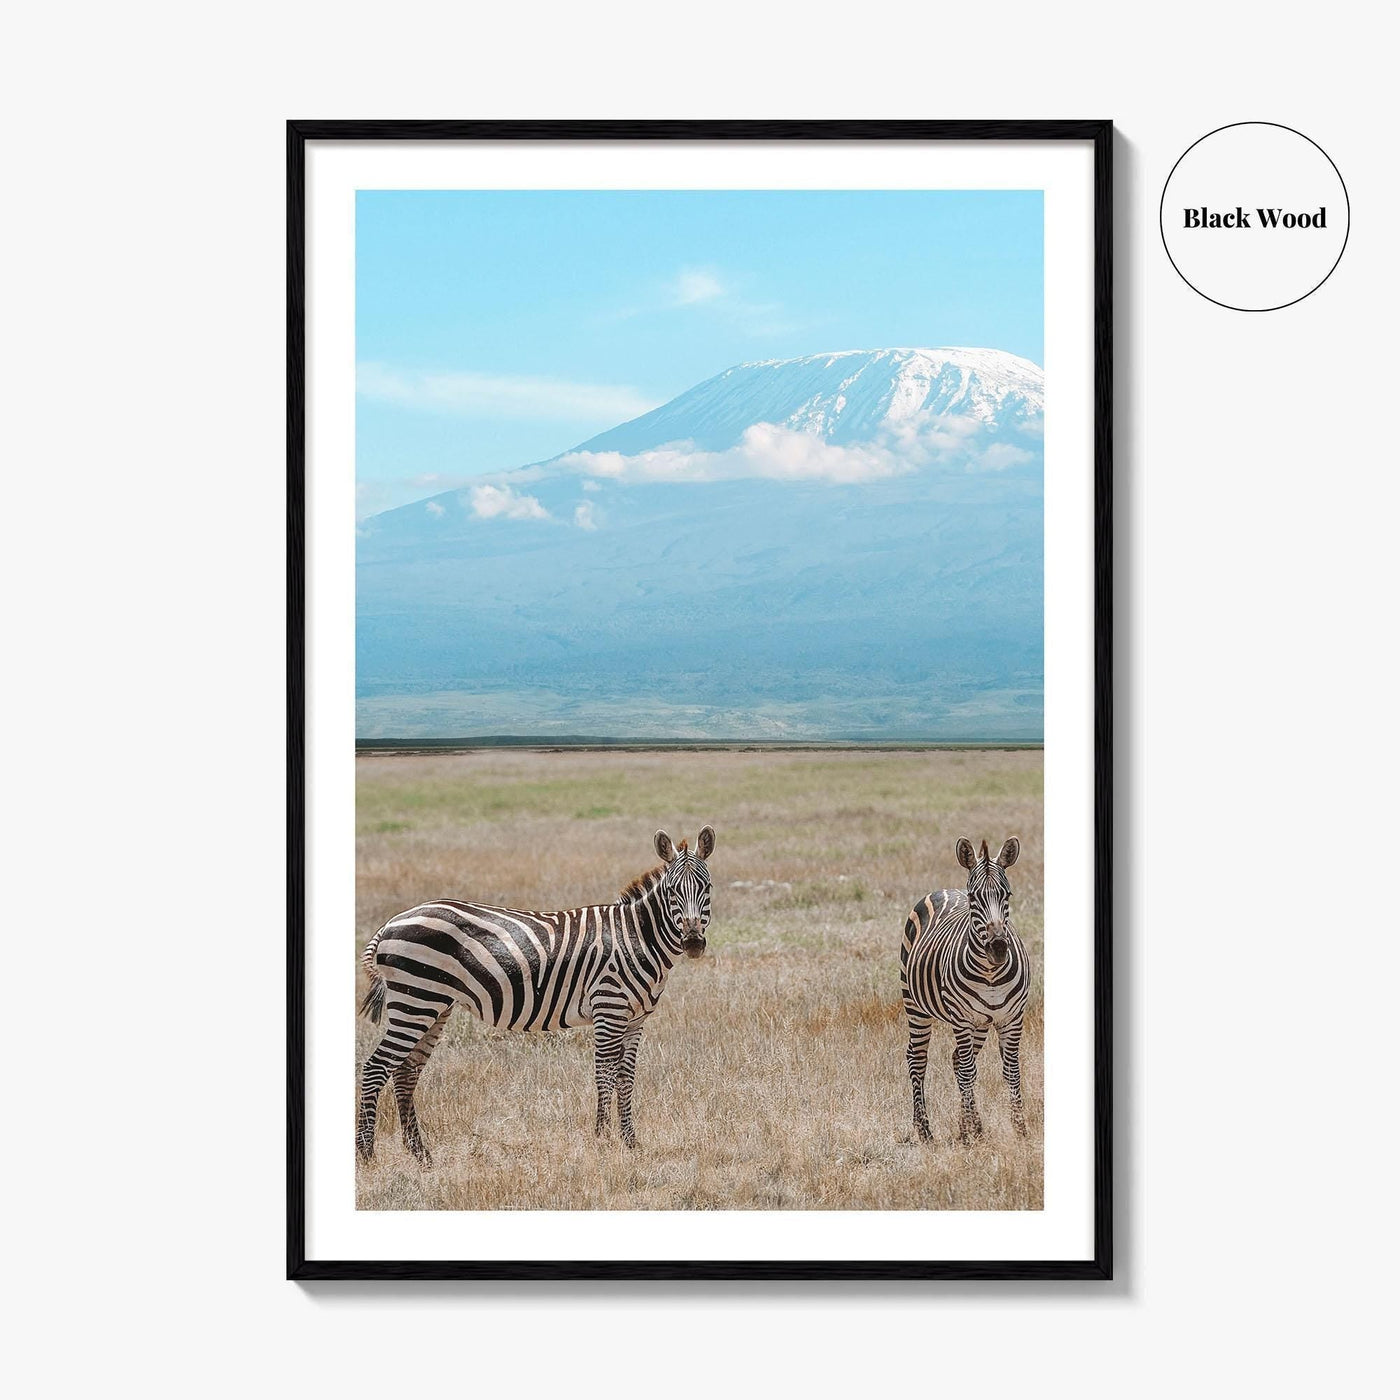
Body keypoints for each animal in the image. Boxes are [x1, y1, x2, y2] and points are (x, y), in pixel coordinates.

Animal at [356, 825, 716, 1162]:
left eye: (707, 887)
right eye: (671, 891)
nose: (693, 943)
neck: (635, 937)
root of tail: (392, 922)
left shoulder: (636, 1020)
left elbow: (626, 1077)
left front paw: (630, 1142)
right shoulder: (608, 1009)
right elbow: (605, 1074)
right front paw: (602, 1141)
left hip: (433, 1005)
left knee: (405, 1071)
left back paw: (421, 1156)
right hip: (415, 999)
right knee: (376, 1067)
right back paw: (367, 1155)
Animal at [900, 837, 1031, 1145]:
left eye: (1007, 895)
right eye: (974, 898)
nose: (998, 948)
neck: (991, 973)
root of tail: (945, 889)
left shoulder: (1012, 1018)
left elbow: (1011, 1070)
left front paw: (1019, 1130)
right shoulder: (961, 1019)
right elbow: (970, 1071)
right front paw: (976, 1133)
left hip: (981, 1023)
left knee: (957, 1059)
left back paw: (962, 1127)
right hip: (915, 1005)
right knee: (918, 1058)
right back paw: (924, 1130)